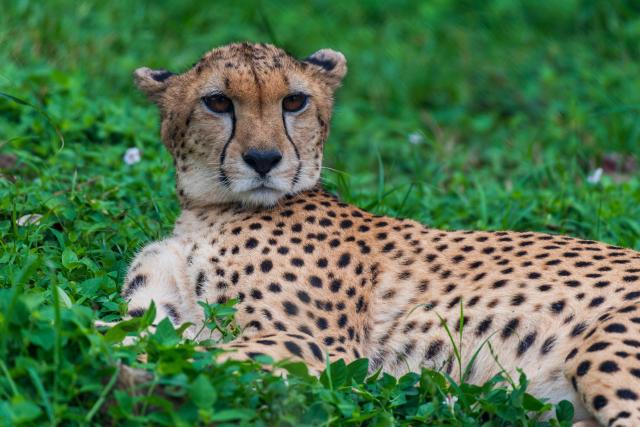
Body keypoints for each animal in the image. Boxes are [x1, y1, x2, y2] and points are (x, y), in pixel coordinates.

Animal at [121, 42, 640, 426]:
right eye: (217, 102)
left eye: (294, 101)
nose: (264, 160)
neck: (210, 209)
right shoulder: (158, 312)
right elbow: (126, 336)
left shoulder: (321, 349)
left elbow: (195, 356)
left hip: (604, 349)